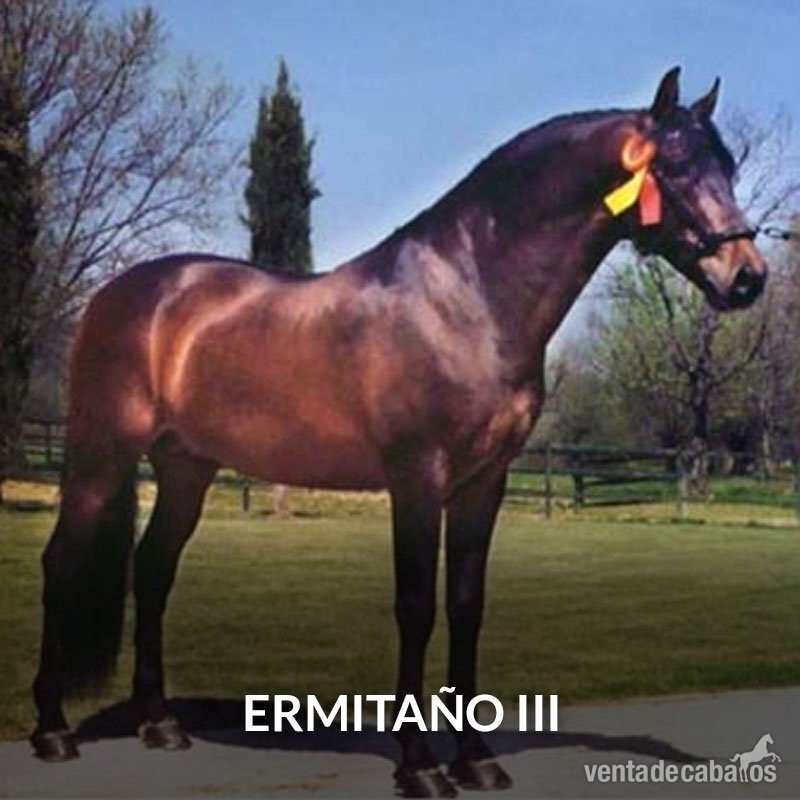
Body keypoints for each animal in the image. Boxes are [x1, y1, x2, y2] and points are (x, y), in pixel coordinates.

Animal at [31, 68, 766, 797]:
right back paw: (53, 731)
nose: (747, 277)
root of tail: (119, 295)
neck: (468, 299)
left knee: (153, 569)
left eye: (728, 165)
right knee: (62, 562)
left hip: (186, 466)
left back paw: (160, 724)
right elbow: (416, 607)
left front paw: (477, 760)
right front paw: (421, 767)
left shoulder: (483, 483)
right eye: (675, 166)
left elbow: (466, 605)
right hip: (101, 456)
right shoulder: (416, 477)